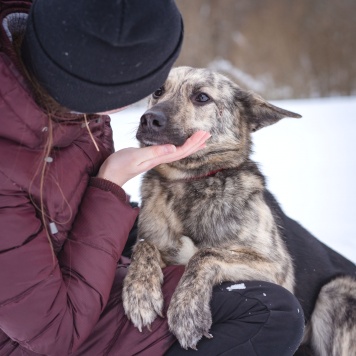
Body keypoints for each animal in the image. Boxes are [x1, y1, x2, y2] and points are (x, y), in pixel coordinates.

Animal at [122, 66, 356, 354]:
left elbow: (205, 255)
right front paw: (140, 293)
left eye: (202, 97)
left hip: (335, 291)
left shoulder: (277, 268)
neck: (188, 181)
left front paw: (187, 312)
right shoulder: (153, 242)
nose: (149, 119)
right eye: (158, 91)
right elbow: (145, 246)